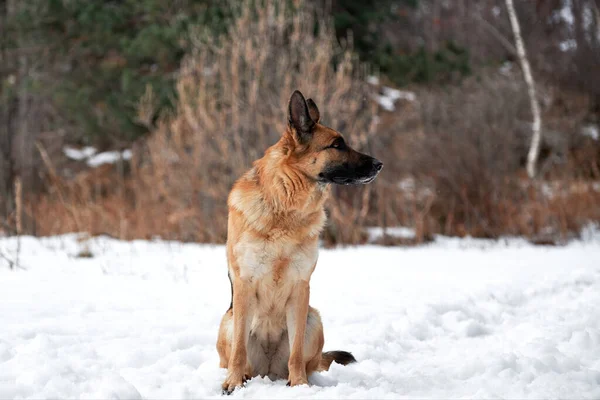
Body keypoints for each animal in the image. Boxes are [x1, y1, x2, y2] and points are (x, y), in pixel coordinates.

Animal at [218, 89, 382, 392]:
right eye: (337, 145)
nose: (379, 165)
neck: (284, 206)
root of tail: (268, 371)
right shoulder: (245, 285)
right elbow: (238, 352)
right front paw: (233, 384)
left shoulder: (300, 287)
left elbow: (295, 353)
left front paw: (300, 387)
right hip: (229, 321)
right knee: (239, 354)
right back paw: (242, 376)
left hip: (313, 319)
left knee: (305, 359)